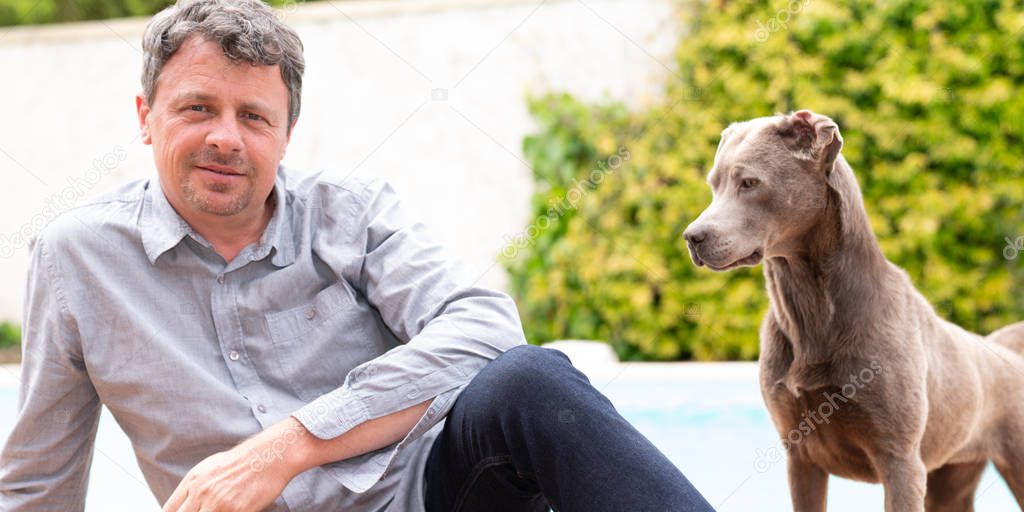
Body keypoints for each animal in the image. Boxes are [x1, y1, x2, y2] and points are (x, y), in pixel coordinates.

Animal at [684, 110, 1019, 509]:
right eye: (713, 185)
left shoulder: (901, 461)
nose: (692, 236)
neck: (811, 307)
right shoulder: (801, 458)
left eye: (749, 182)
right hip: (952, 478)